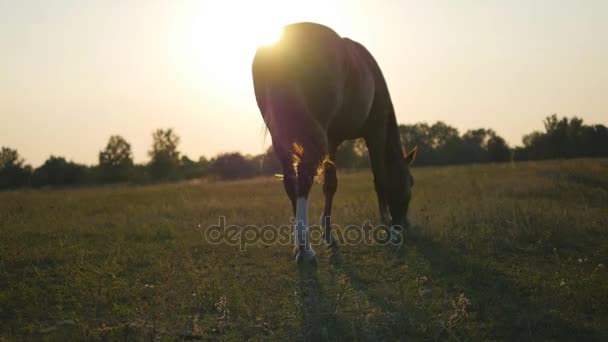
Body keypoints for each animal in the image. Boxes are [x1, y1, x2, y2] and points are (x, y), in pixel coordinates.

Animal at [249, 21, 416, 264]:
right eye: (410, 182)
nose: (404, 224)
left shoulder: (333, 140)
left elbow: (330, 183)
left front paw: (328, 234)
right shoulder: (375, 134)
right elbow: (380, 178)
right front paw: (387, 228)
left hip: (279, 135)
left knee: (291, 181)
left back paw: (300, 245)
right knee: (304, 177)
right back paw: (305, 248)